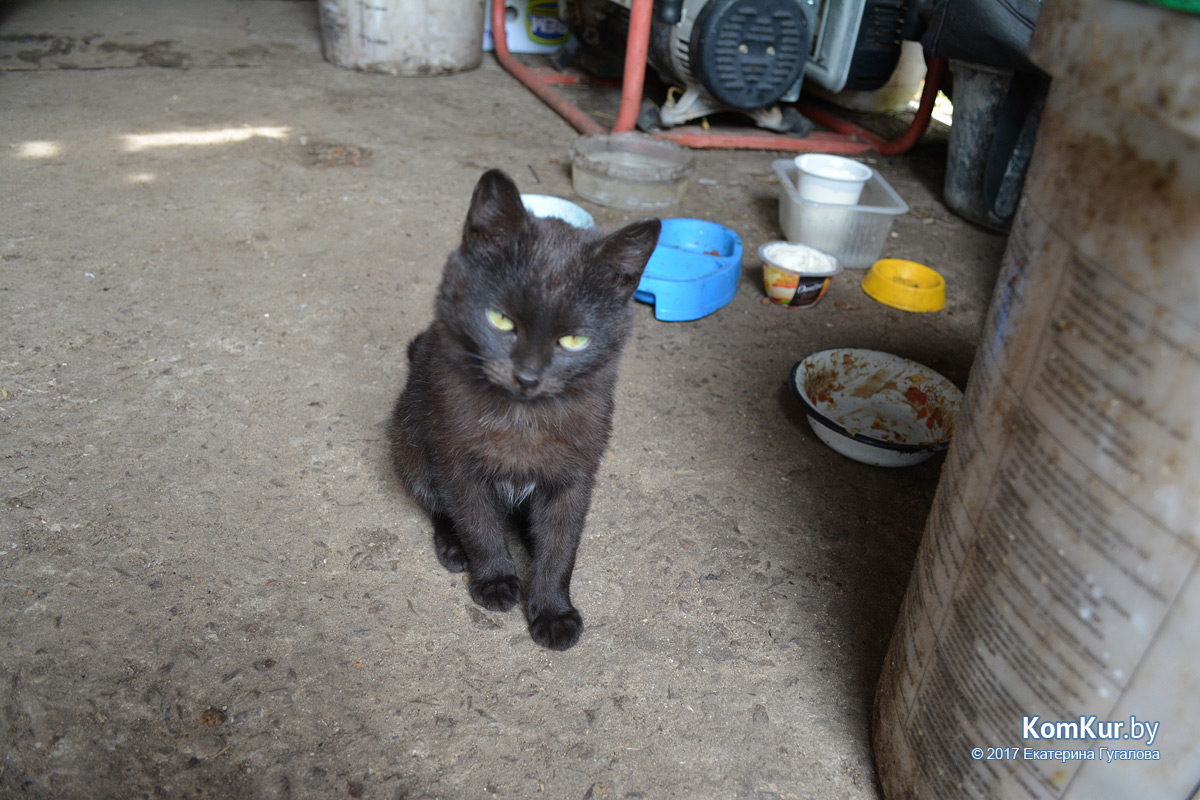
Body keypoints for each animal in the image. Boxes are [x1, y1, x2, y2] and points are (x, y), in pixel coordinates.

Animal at [388, 169, 662, 652]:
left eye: (573, 340)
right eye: (500, 320)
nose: (528, 377)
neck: (522, 420)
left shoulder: (577, 474)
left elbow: (562, 544)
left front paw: (553, 611)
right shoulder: (456, 461)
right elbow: (477, 523)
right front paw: (496, 580)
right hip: (408, 443)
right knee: (437, 504)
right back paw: (454, 547)